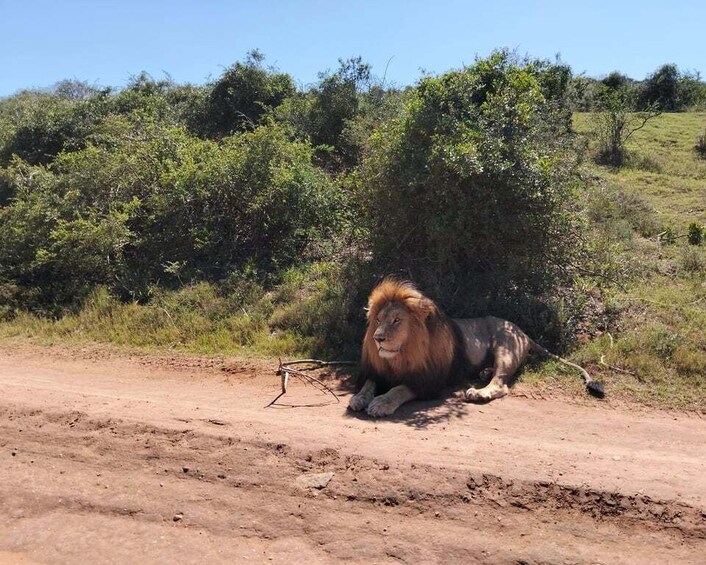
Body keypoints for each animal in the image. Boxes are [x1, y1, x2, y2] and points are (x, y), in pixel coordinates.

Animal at [348, 278, 604, 417]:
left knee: (501, 384)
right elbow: (369, 384)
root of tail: (523, 332)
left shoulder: (429, 380)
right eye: (378, 320)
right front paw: (359, 398)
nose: (378, 338)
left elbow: (399, 389)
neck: (400, 356)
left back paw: (480, 392)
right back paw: (483, 372)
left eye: (396, 321)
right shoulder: (378, 372)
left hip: (505, 349)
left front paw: (381, 403)